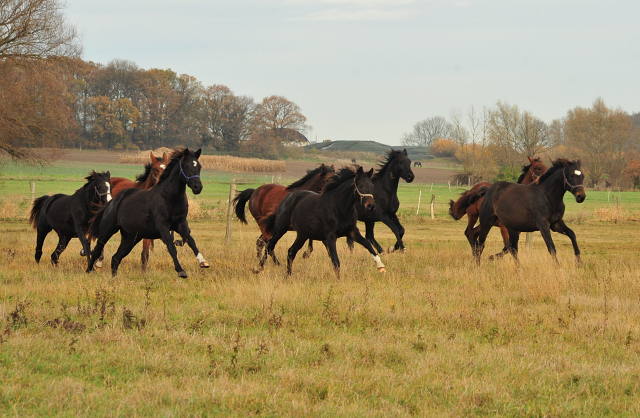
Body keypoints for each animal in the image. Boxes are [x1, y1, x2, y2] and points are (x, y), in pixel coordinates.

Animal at [85, 147, 209, 278]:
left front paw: (203, 261)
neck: (170, 197)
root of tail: (112, 201)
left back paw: (114, 278)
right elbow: (171, 246)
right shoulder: (162, 226)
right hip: (107, 230)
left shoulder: (180, 224)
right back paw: (90, 269)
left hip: (131, 238)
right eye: (187, 166)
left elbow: (190, 240)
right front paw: (181, 270)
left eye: (199, 166)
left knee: (116, 257)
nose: (197, 187)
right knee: (98, 249)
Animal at [255, 165, 384, 280]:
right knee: (269, 245)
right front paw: (338, 280)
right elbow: (335, 259)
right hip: (280, 229)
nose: (371, 206)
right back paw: (258, 269)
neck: (339, 207)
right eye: (360, 186)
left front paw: (381, 266)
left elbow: (367, 244)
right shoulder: (330, 236)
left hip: (302, 235)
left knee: (291, 251)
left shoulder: (352, 231)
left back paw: (288, 275)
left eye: (372, 186)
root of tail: (287, 198)